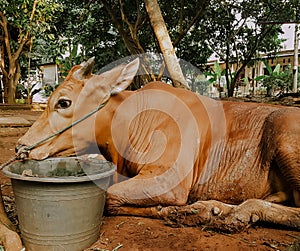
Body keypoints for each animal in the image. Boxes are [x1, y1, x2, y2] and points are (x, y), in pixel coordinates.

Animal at [2, 58, 300, 249]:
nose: (20, 146)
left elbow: (111, 197)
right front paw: (187, 211)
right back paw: (217, 209)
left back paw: (233, 214)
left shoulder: (169, 180)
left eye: (64, 102)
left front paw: (176, 211)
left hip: (283, 129)